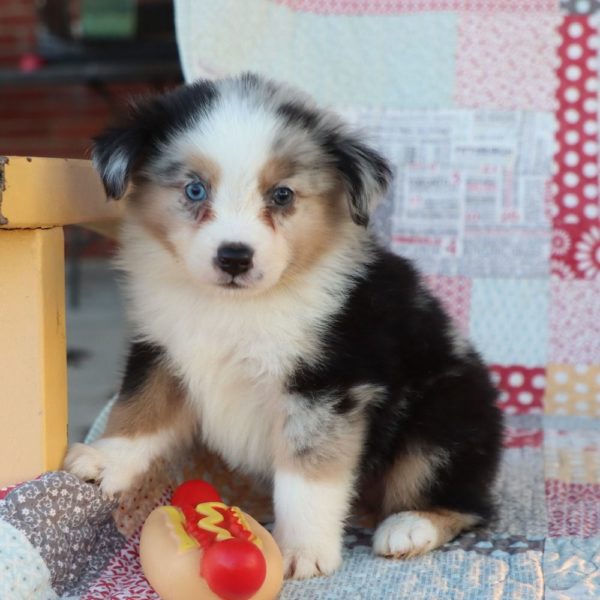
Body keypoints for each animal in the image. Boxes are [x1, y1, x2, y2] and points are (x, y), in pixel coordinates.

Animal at [65, 72, 504, 580]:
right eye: (194, 190)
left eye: (282, 195)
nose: (234, 257)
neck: (236, 306)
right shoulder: (161, 348)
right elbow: (141, 408)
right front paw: (105, 459)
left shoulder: (325, 385)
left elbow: (307, 476)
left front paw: (302, 549)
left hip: (444, 420)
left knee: (468, 502)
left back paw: (410, 526)